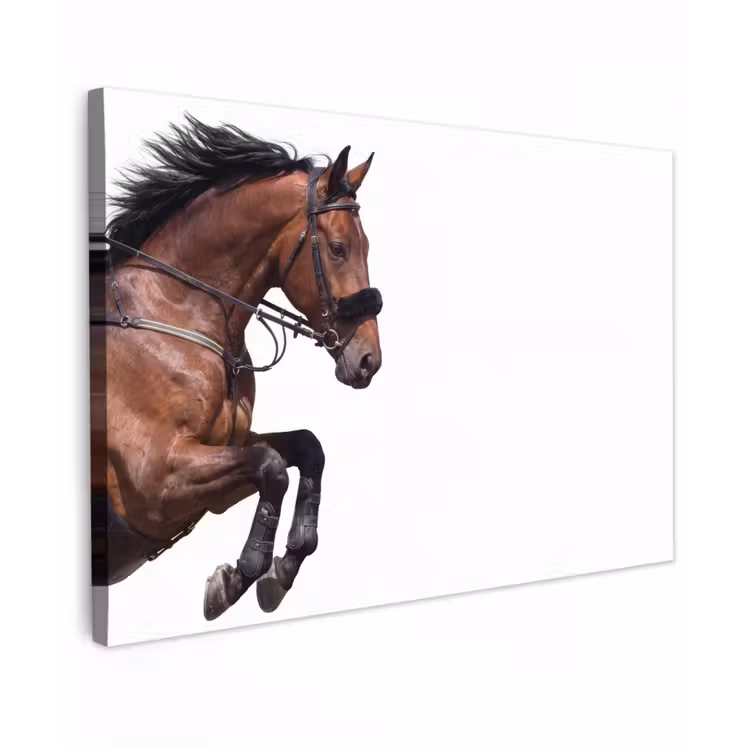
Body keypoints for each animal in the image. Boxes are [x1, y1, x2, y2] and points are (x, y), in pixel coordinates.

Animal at [89, 114, 384, 621]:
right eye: (339, 248)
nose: (369, 360)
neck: (178, 309)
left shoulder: (218, 460)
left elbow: (305, 449)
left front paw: (281, 570)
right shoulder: (154, 484)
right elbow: (272, 467)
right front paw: (236, 579)